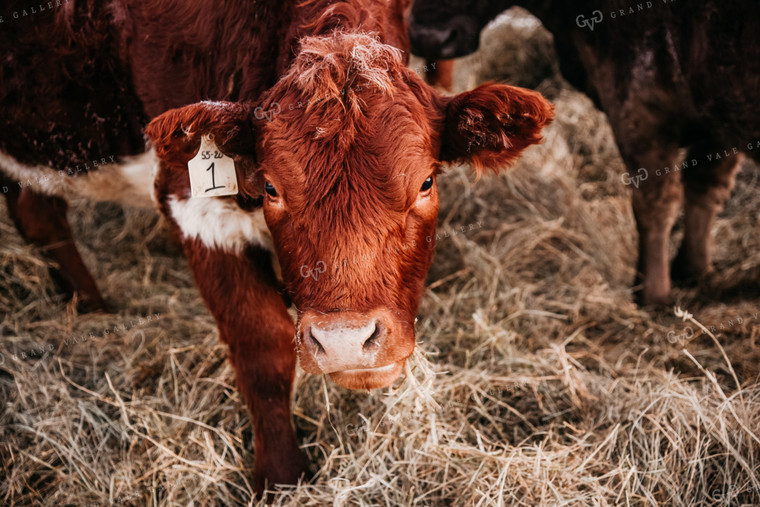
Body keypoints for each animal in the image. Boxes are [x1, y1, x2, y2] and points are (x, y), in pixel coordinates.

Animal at [0, 0, 548, 496]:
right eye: (271, 188)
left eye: (427, 182)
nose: (347, 342)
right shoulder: (194, 206)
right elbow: (263, 351)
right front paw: (282, 476)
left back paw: (88, 306)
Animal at [410, 0, 760, 306]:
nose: (427, 35)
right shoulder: (716, 124)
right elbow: (704, 190)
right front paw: (693, 269)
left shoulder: (638, 113)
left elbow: (655, 205)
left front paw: (650, 293)